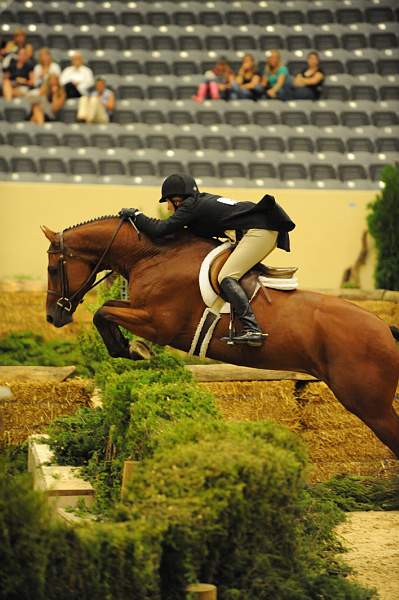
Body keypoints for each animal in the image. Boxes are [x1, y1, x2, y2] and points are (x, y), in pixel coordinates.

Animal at [41, 218, 399, 458]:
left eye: (53, 270)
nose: (52, 317)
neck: (151, 254)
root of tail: (386, 330)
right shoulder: (143, 312)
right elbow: (106, 311)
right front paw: (130, 348)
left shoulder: (158, 322)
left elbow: (103, 312)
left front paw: (132, 349)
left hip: (368, 404)